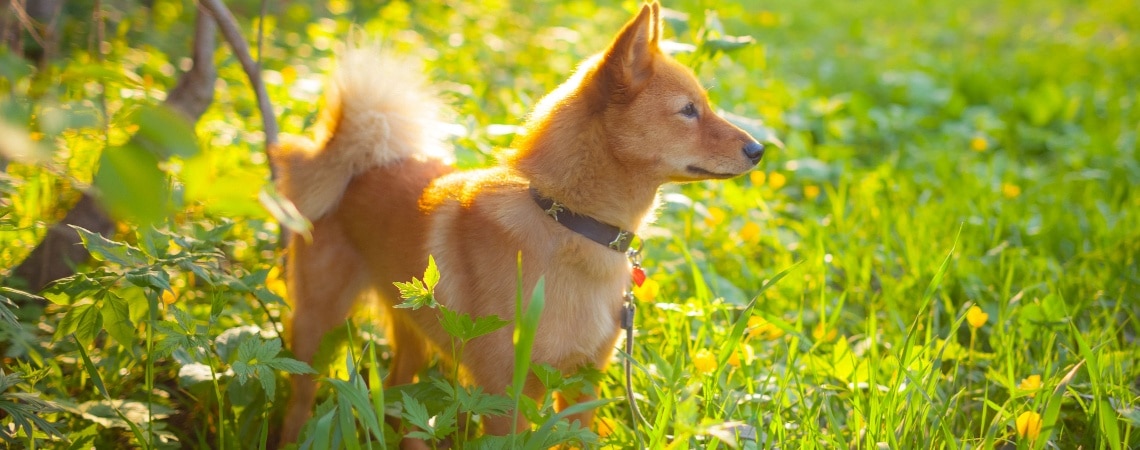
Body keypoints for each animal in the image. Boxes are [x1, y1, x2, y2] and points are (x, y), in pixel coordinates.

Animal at [271, 0, 761, 444]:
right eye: (688, 110)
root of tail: (357, 160)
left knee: (398, 402)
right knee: (300, 400)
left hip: (412, 333)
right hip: (316, 326)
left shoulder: (582, 384)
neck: (569, 220)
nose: (759, 150)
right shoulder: (506, 398)